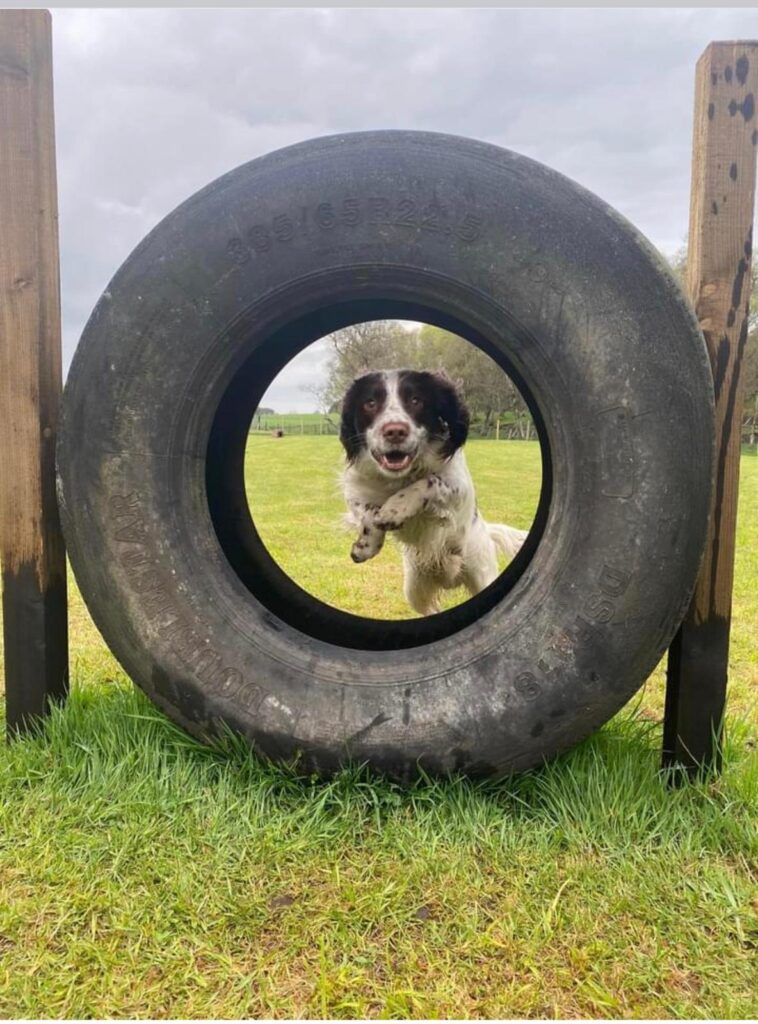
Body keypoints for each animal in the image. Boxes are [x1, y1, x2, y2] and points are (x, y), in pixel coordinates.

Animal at [338, 370, 528, 614]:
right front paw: (365, 546)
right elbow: (369, 513)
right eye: (370, 403)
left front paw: (394, 509)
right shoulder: (355, 488)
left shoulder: (459, 487)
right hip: (414, 589)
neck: (400, 478)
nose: (395, 431)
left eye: (416, 400)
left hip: (481, 573)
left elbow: (429, 482)